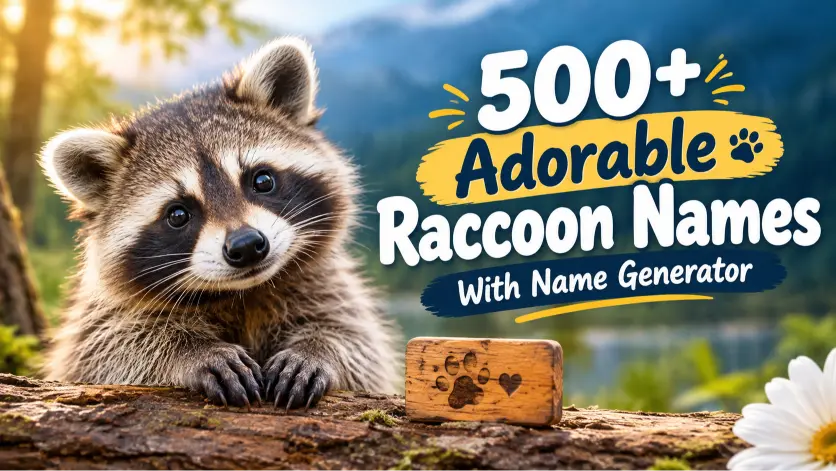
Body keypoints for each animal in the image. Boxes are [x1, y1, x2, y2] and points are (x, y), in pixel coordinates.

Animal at [39, 37, 400, 410]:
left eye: (262, 181)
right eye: (178, 214)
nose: (246, 246)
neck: (242, 292)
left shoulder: (324, 284)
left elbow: (356, 339)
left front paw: (317, 348)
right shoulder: (100, 321)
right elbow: (109, 349)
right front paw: (193, 350)